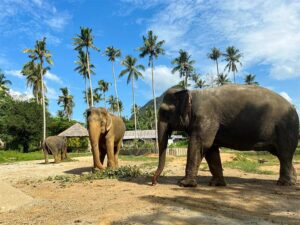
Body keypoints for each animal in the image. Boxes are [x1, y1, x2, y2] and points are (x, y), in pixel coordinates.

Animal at [154, 84, 298, 186]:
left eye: (165, 112)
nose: (153, 182)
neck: (192, 93)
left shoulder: (206, 117)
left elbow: (200, 144)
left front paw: (184, 183)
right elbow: (211, 150)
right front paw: (216, 184)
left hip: (286, 129)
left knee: (284, 154)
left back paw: (284, 183)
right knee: (282, 155)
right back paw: (293, 181)